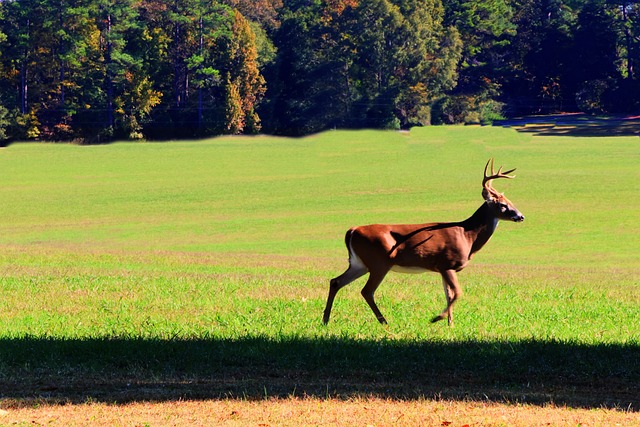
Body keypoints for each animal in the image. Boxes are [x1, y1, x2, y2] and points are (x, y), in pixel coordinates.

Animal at [323, 159, 524, 326]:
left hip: (360, 263)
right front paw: (437, 318)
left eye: (510, 201)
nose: (521, 216)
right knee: (366, 291)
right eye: (502, 205)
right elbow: (458, 292)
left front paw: (450, 324)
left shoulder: (442, 268)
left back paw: (325, 320)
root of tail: (352, 230)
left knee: (336, 281)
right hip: (379, 262)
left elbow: (449, 294)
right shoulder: (447, 263)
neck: (468, 235)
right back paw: (384, 321)